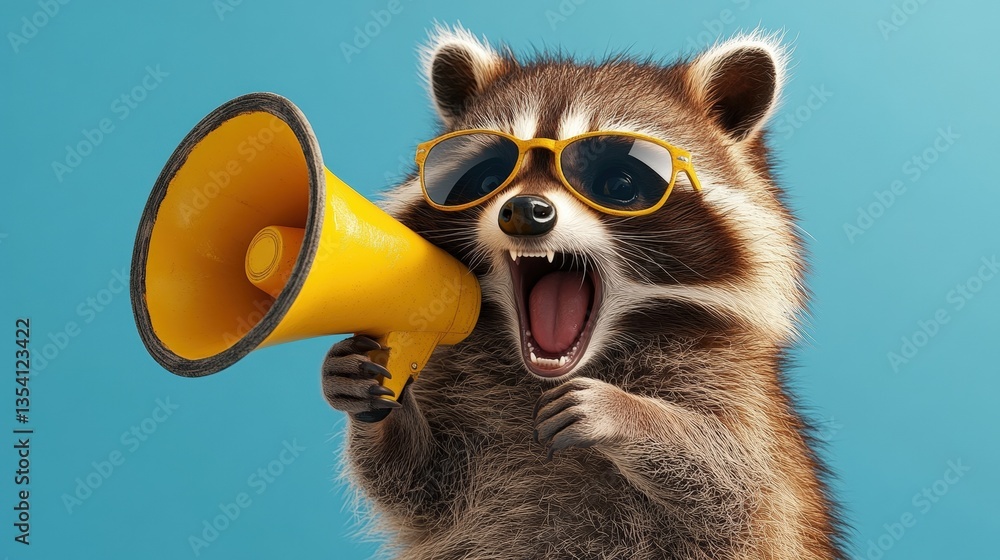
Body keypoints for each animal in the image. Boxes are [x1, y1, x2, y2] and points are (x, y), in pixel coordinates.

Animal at [321, 26, 845, 560]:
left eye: (620, 184)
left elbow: (740, 484)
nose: (524, 211)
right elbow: (419, 484)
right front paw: (379, 407)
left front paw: (631, 415)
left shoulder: (739, 392)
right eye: (489, 178)